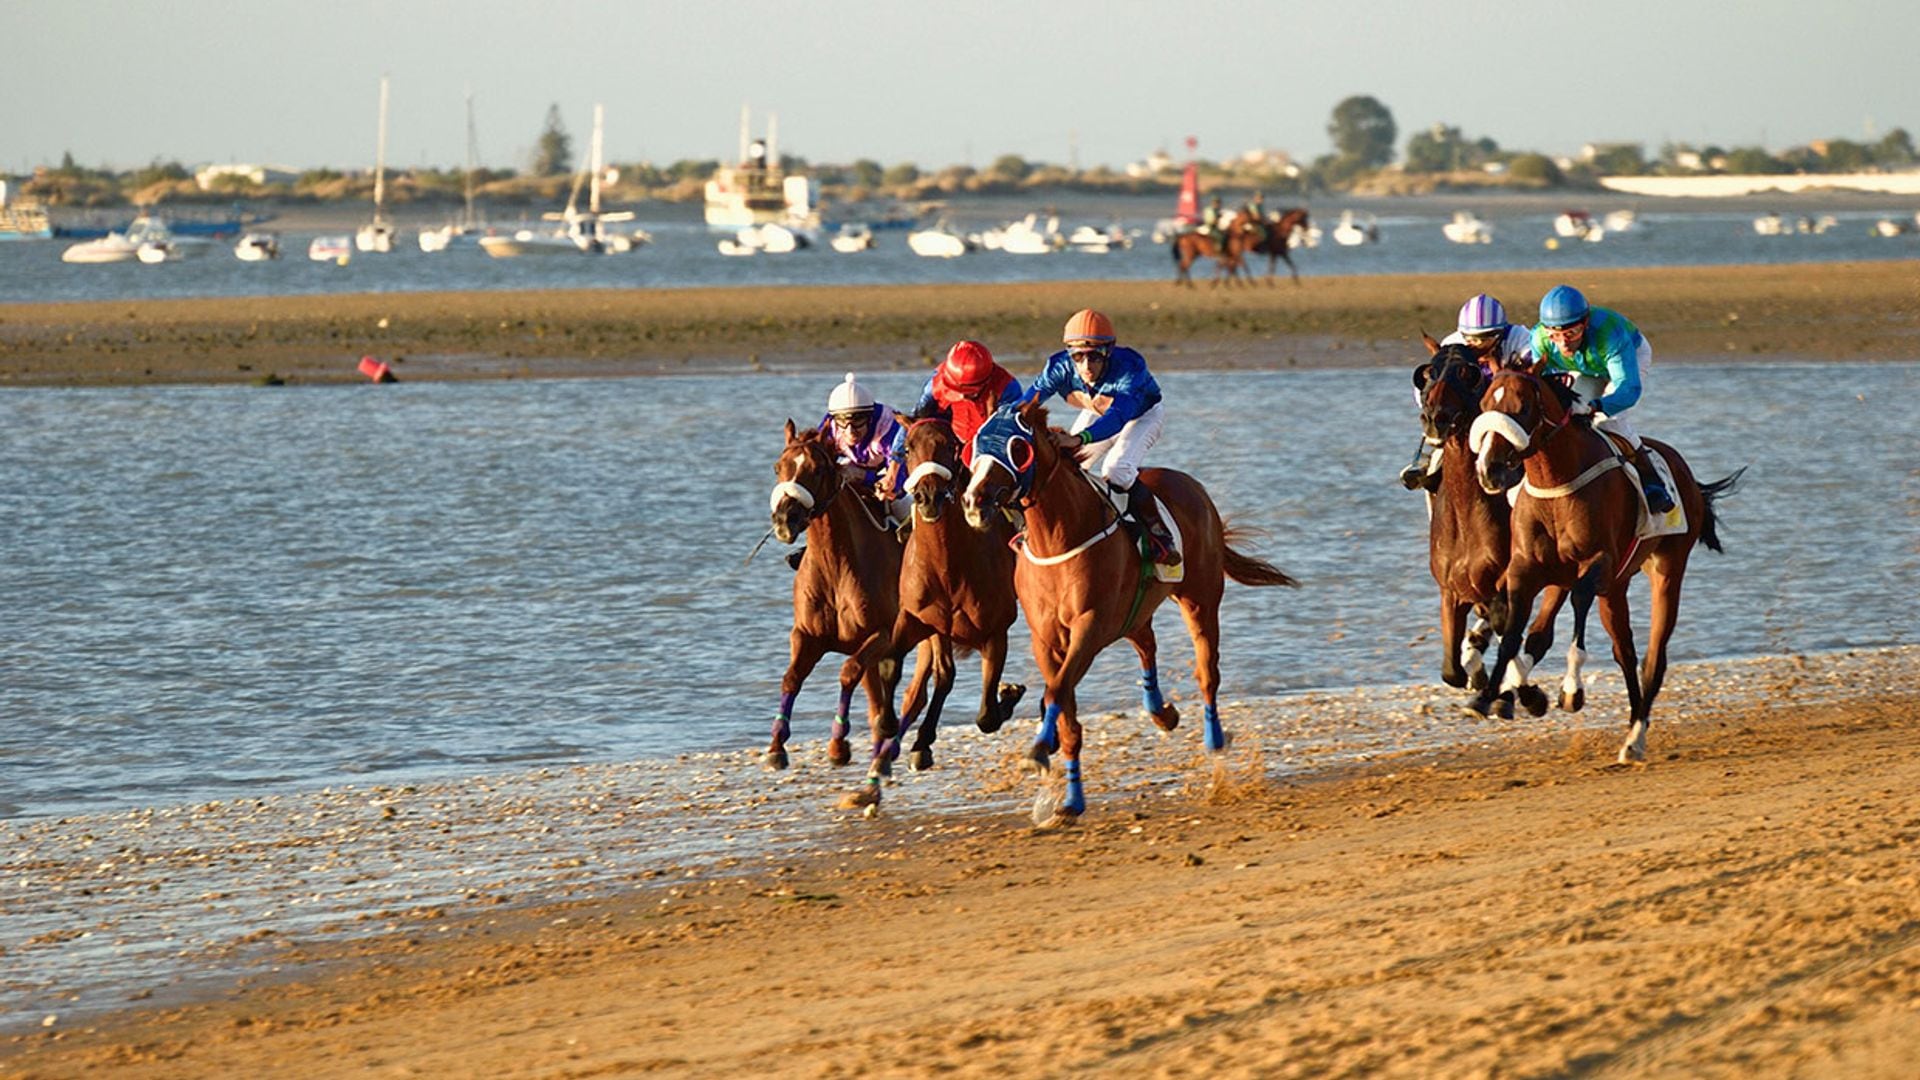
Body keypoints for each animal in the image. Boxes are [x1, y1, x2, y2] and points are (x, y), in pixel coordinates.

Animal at [768, 417, 902, 776]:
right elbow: (790, 678)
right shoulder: (806, 635)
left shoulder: (882, 633)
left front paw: (838, 744)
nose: (784, 520)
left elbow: (848, 672)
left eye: (816, 470)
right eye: (778, 467)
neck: (835, 568)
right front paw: (776, 746)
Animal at [883, 411, 1036, 772]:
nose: (929, 496)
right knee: (920, 686)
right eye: (907, 448)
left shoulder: (995, 632)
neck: (947, 567)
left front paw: (1009, 693)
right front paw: (892, 726)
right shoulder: (924, 620)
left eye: (952, 446)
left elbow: (987, 716)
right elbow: (900, 666)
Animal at [960, 399, 1305, 818]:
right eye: (975, 443)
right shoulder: (1046, 639)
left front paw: (1041, 753)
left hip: (1201, 600)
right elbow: (1065, 710)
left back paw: (1215, 742)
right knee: (1148, 646)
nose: (972, 501)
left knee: (1207, 674)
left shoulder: (1089, 628)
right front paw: (1069, 797)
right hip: (1135, 614)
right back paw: (1162, 712)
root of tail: (1195, 487)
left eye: (1016, 447)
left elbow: (1056, 693)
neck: (1059, 539)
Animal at [1413, 334, 1589, 714]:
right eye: (1429, 372)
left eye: (1469, 373)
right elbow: (1451, 670)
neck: (1467, 514)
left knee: (1539, 634)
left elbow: (1506, 624)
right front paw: (1481, 675)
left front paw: (1524, 692)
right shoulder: (1450, 591)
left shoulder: (1513, 579)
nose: (1435, 417)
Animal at [1459, 365, 1751, 760]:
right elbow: (1514, 632)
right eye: (1485, 404)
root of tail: (1686, 473)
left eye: (1522, 408)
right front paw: (1490, 695)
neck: (1556, 484)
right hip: (1611, 586)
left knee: (1653, 657)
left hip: (1665, 569)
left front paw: (1570, 689)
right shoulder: (1526, 569)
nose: (1489, 470)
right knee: (1618, 650)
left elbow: (1579, 602)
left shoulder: (1598, 562)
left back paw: (1635, 738)